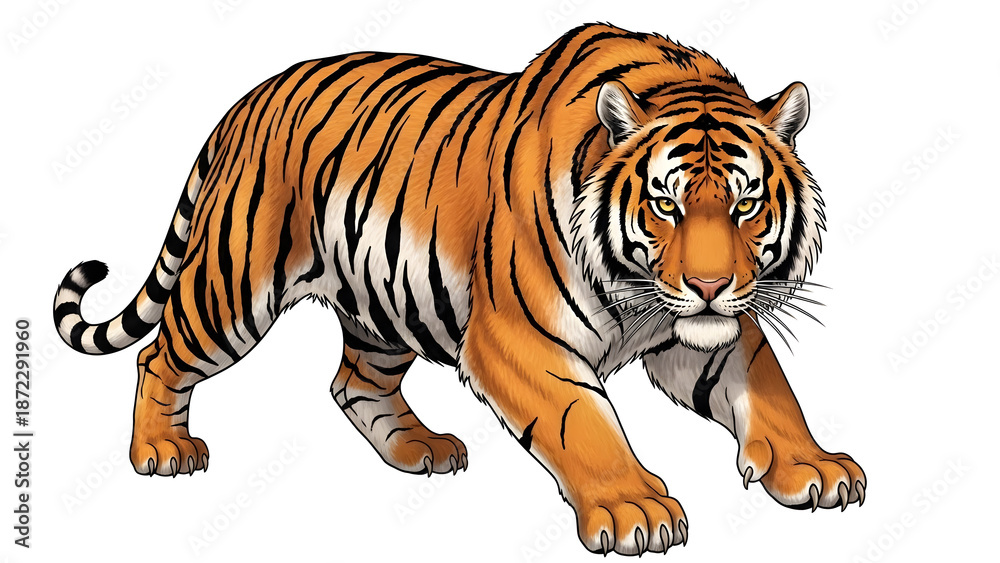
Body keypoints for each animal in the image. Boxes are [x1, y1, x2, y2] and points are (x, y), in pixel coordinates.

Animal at [52, 23, 865, 555]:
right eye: (665, 204)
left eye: (745, 204)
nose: (709, 284)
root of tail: (245, 101)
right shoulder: (518, 338)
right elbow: (583, 420)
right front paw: (634, 505)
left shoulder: (701, 335)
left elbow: (770, 389)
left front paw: (816, 467)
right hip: (232, 288)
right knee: (160, 355)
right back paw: (162, 450)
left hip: (381, 306)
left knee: (354, 384)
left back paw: (422, 448)